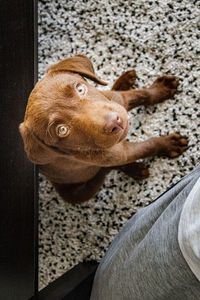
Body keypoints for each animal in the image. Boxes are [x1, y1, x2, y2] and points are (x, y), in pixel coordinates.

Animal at [19, 54, 189, 204]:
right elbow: (148, 146)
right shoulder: (123, 153)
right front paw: (170, 145)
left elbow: (141, 94)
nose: (115, 123)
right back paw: (135, 169)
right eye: (62, 130)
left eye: (80, 89)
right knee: (108, 169)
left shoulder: (119, 101)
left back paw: (123, 82)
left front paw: (161, 89)